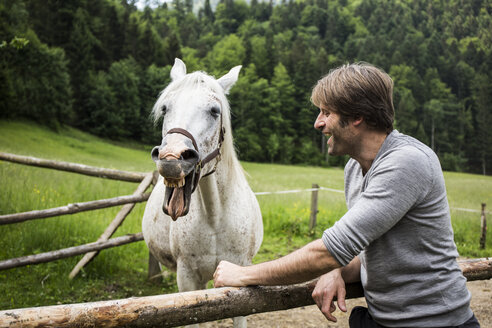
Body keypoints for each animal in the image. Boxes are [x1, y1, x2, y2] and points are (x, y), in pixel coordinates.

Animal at [142, 59, 264, 328]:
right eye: (165, 108)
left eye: (214, 111)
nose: (171, 159)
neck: (214, 216)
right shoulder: (188, 279)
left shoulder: (239, 275)